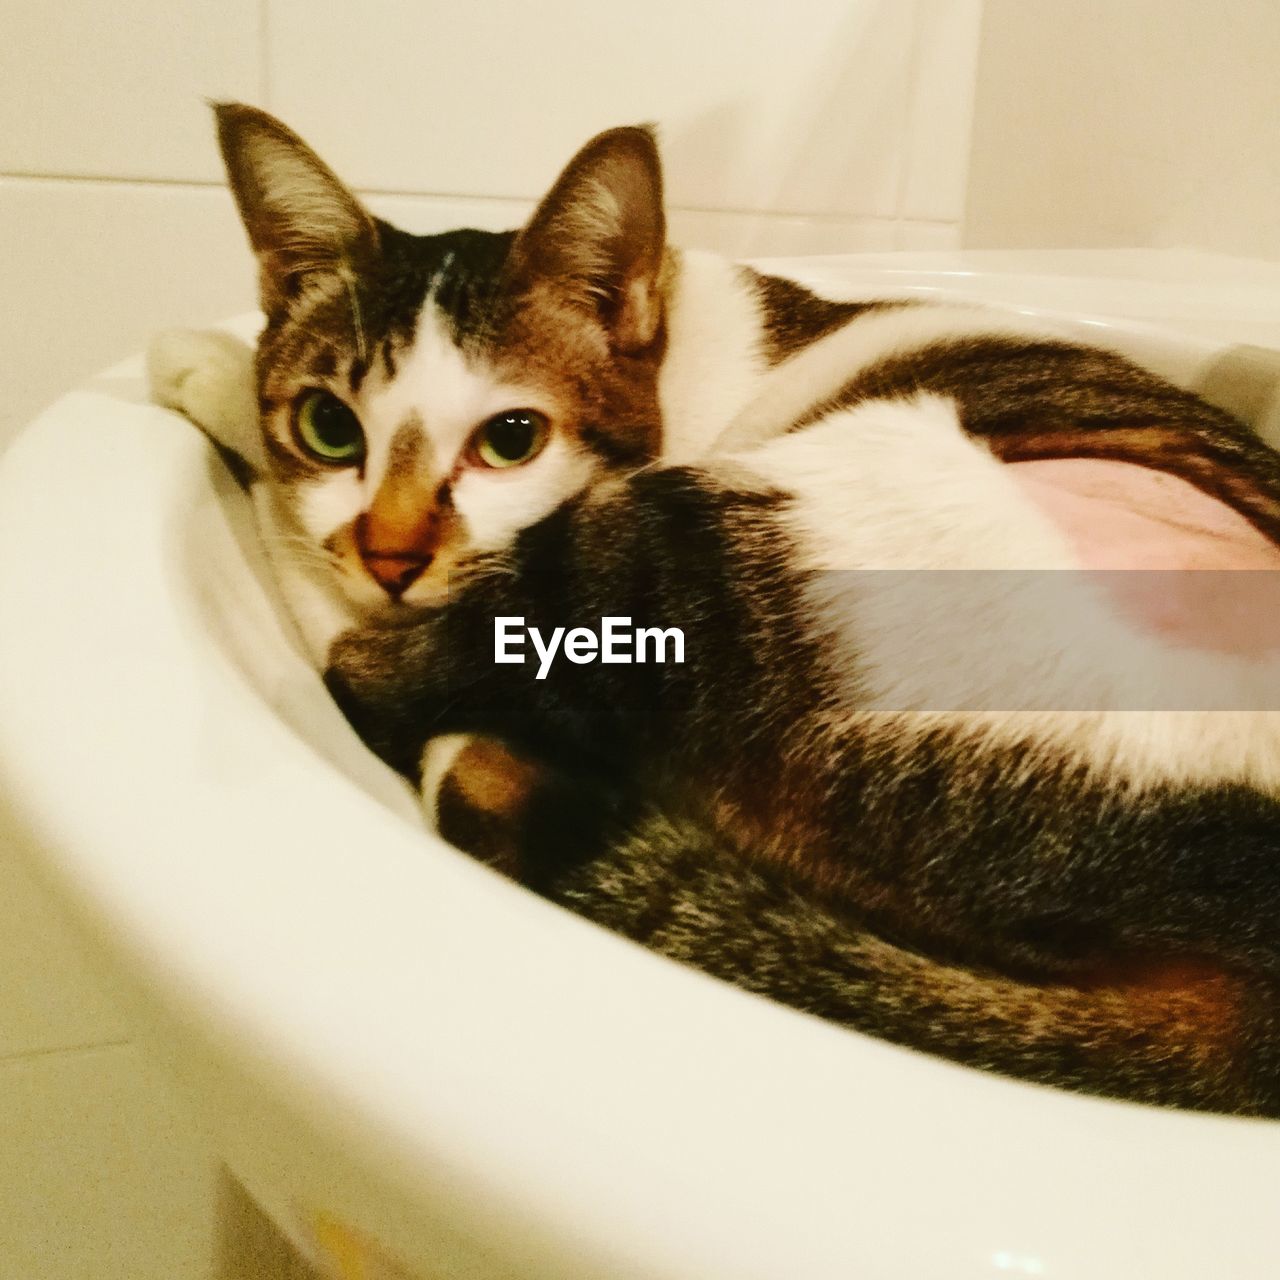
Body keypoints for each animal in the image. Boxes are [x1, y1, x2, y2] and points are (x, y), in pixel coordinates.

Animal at [152, 104, 1280, 1116]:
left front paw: (210, 370)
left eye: (510, 438)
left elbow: (337, 597)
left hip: (716, 558)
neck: (680, 333)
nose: (389, 552)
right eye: (330, 427)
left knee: (373, 663)